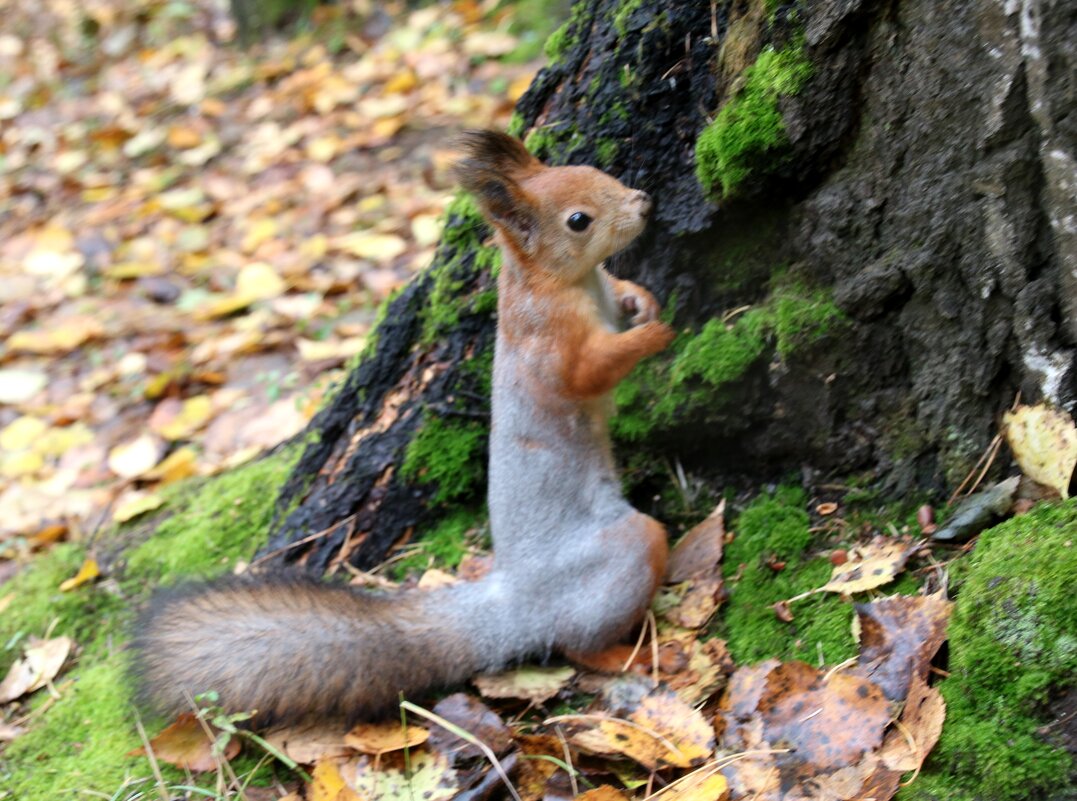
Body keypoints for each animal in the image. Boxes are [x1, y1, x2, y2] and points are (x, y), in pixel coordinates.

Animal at [132, 131, 672, 727]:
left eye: (593, 170)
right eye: (579, 220)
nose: (644, 203)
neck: (566, 282)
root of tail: (512, 605)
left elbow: (621, 295)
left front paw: (641, 300)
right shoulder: (552, 345)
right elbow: (589, 372)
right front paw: (657, 333)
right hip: (620, 554)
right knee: (578, 642)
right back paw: (632, 655)